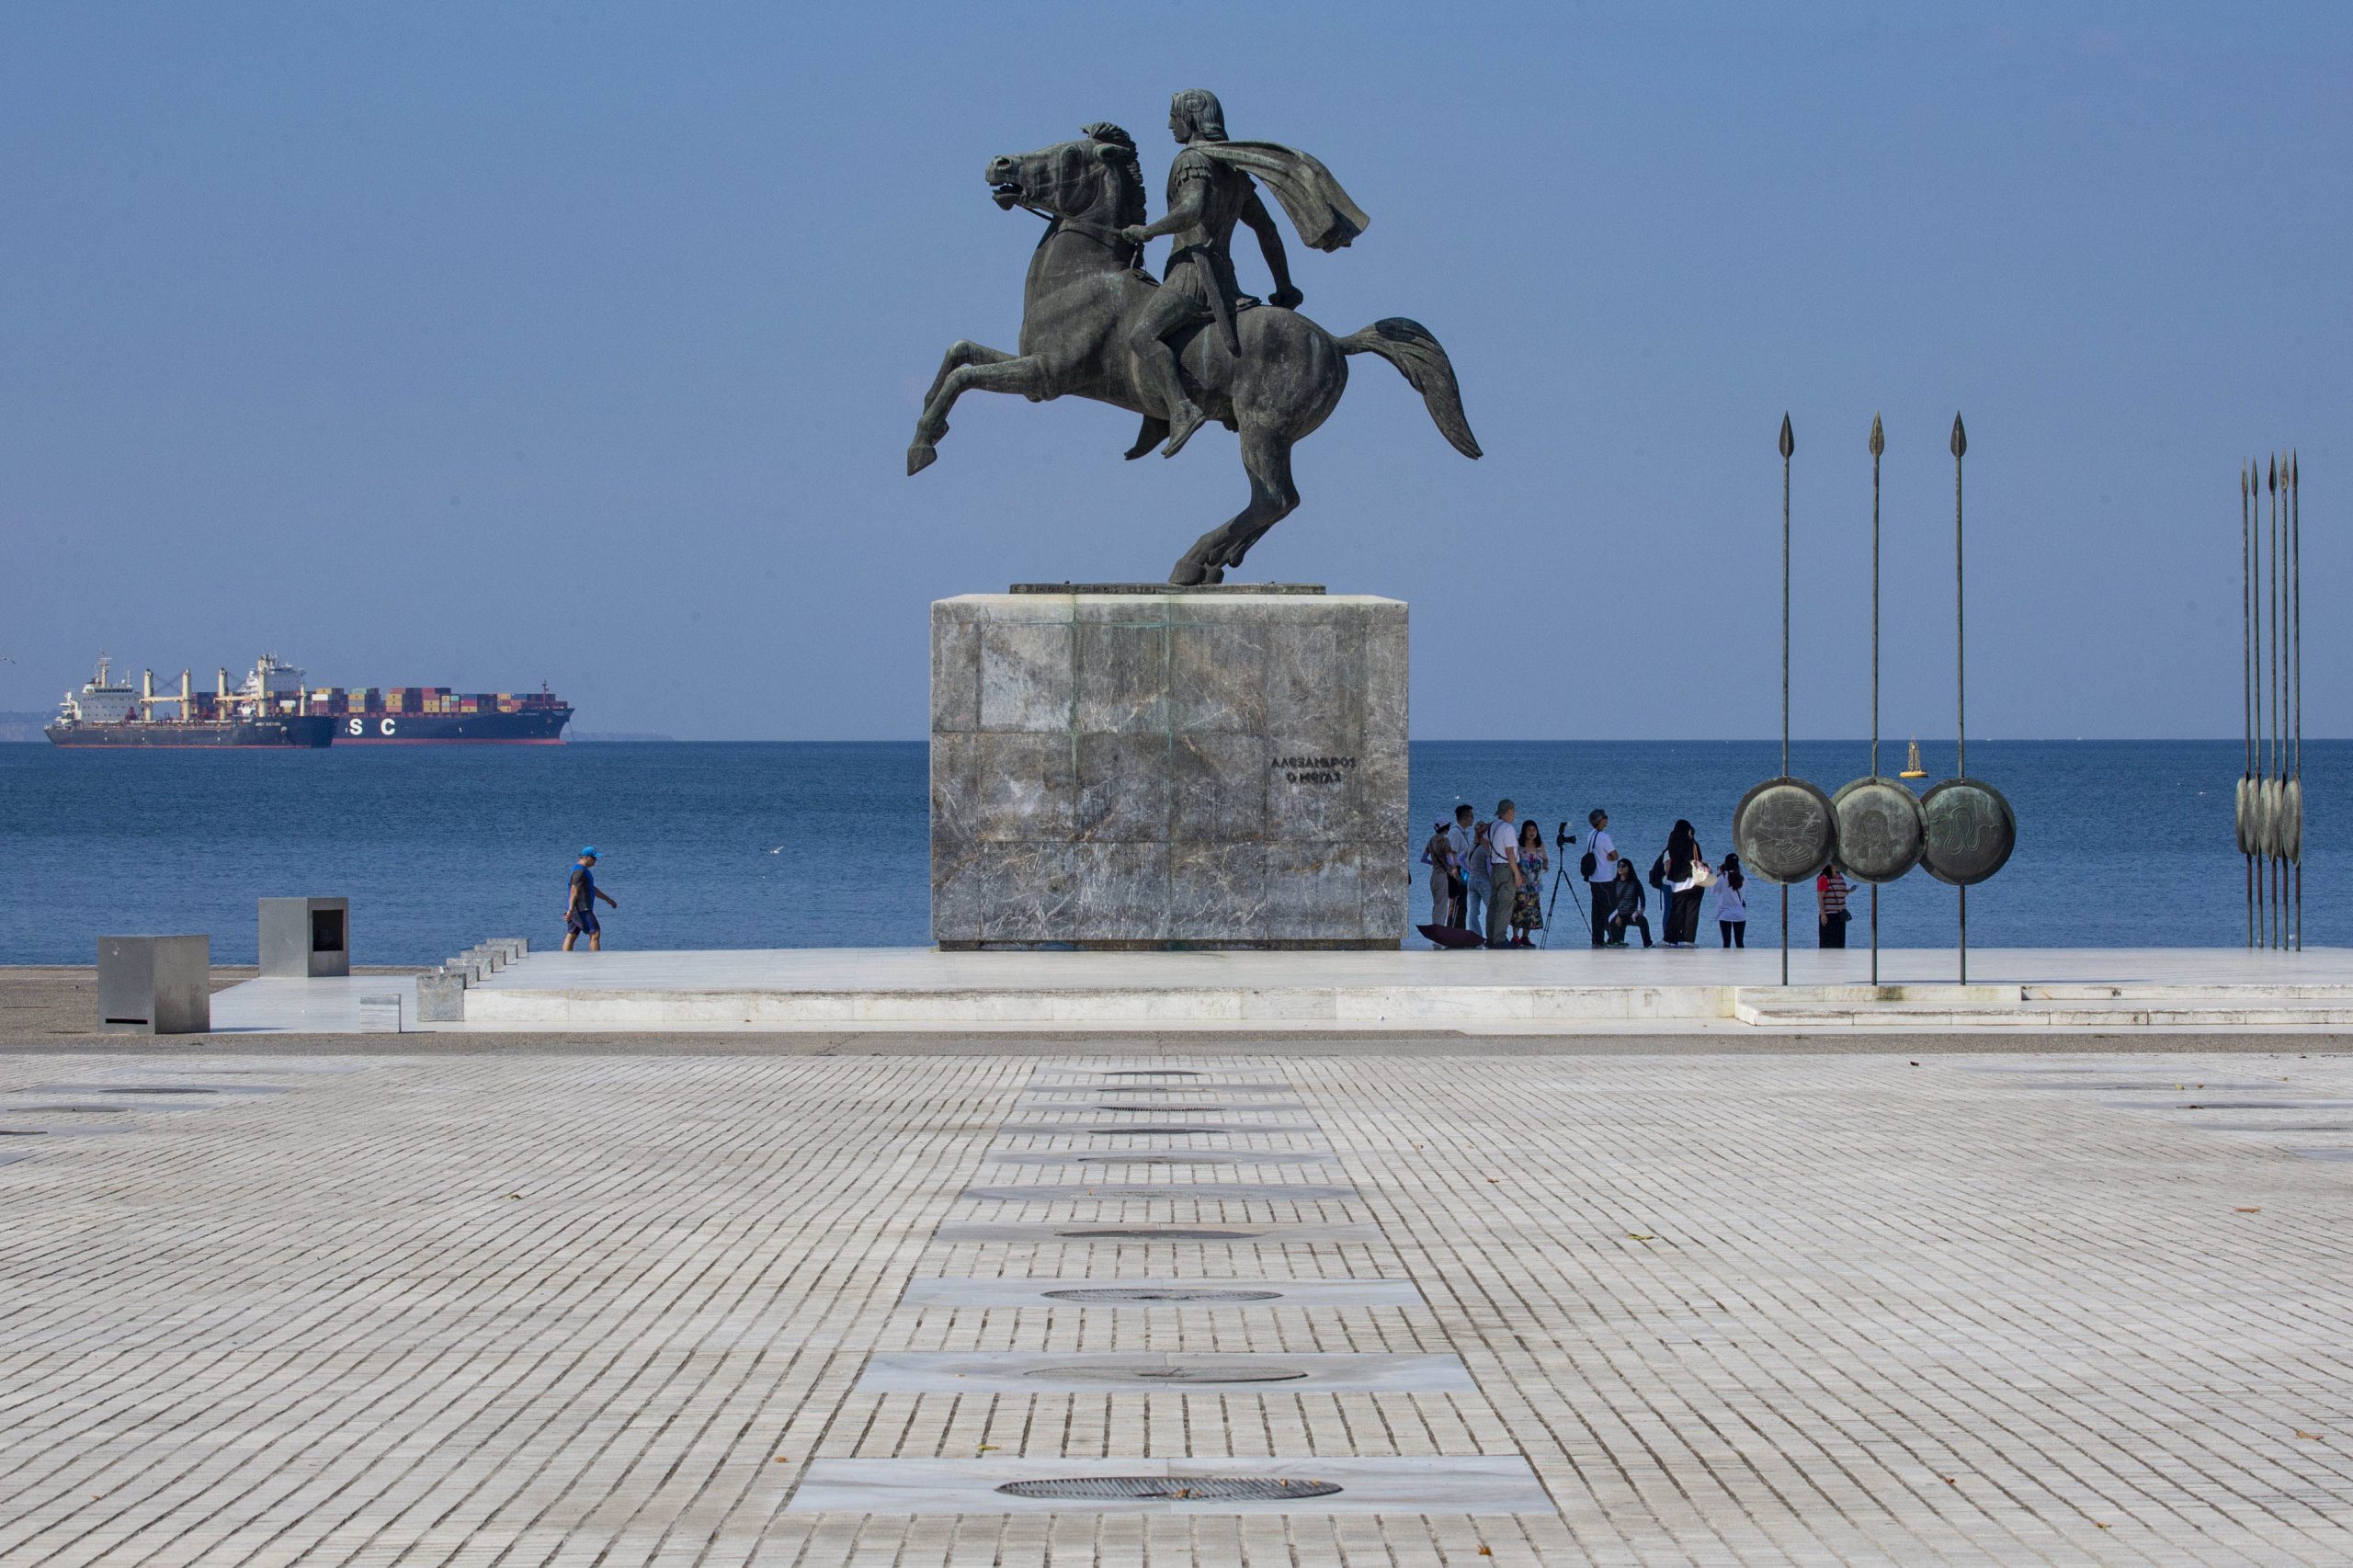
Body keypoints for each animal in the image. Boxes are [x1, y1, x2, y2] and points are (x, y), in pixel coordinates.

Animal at [908, 123, 1477, 585]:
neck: (1082, 277)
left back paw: (1192, 560)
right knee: (1273, 503)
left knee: (1274, 498)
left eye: (1069, 154)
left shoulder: (1045, 378)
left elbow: (965, 377)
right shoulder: (1026, 365)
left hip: (1261, 428)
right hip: (1269, 434)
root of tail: (1335, 342)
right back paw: (1213, 564)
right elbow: (958, 353)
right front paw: (924, 427)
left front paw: (922, 449)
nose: (1000, 163)